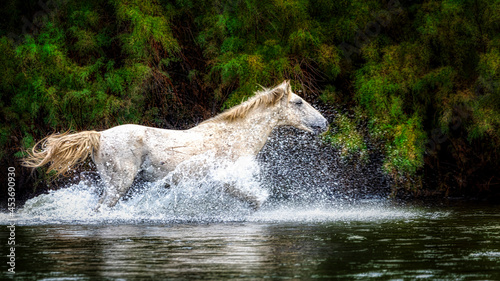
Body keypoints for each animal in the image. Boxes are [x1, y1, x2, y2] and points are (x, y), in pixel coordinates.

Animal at [24, 80, 328, 209]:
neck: (236, 136)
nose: (324, 123)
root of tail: (99, 135)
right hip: (119, 183)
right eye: (298, 102)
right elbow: (255, 200)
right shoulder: (227, 178)